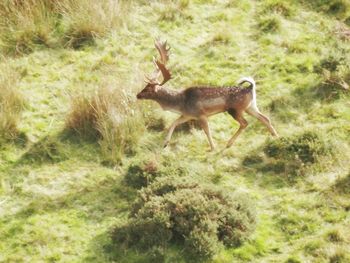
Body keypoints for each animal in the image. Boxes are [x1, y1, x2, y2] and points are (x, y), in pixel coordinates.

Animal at [137, 39, 278, 151]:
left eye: (148, 89)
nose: (138, 95)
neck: (181, 103)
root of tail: (250, 88)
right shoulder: (188, 115)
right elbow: (174, 123)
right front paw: (165, 143)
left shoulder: (201, 114)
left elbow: (206, 130)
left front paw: (212, 147)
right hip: (251, 106)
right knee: (264, 118)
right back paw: (275, 136)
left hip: (235, 109)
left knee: (245, 123)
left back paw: (228, 144)